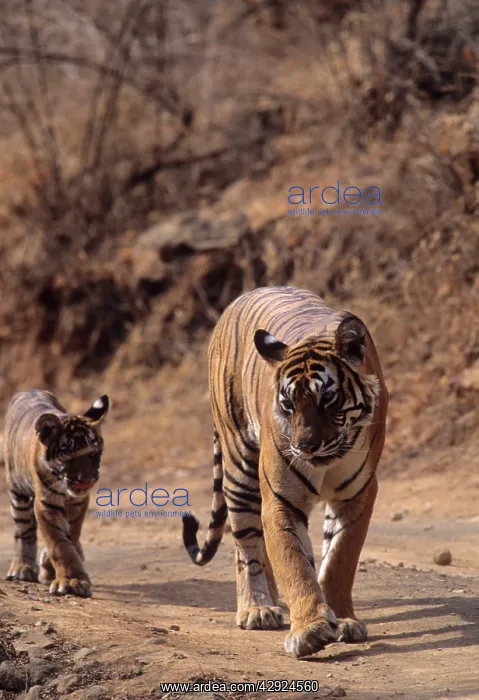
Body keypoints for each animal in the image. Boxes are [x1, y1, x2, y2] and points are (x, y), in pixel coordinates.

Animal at [4, 390, 109, 598]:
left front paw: (56, 571)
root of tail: (28, 391)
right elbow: (60, 545)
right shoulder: (46, 504)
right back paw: (22, 568)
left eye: (93, 454)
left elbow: (70, 537)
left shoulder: (78, 502)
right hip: (17, 493)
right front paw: (71, 581)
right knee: (24, 531)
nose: (86, 481)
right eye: (67, 456)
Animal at [182, 286, 388, 658]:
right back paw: (257, 609)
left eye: (327, 400)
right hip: (239, 469)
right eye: (288, 404)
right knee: (246, 545)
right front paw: (310, 630)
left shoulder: (358, 494)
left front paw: (343, 620)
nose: (305, 445)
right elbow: (294, 563)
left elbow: (339, 559)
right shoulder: (281, 498)